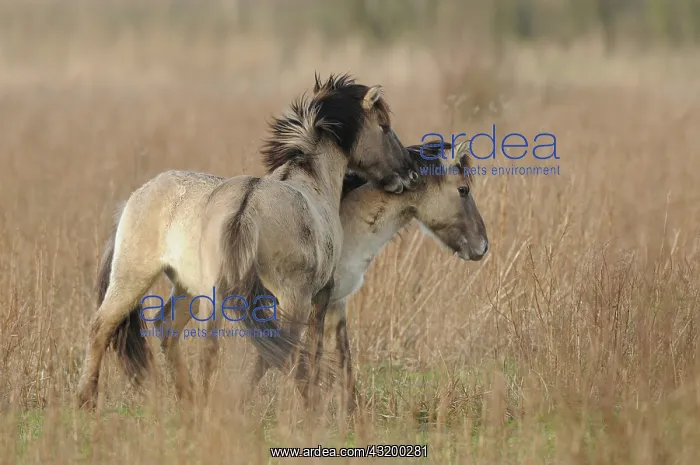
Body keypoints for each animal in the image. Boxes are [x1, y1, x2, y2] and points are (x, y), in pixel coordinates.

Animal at [75, 73, 420, 410]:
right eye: (384, 124)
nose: (409, 172)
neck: (312, 182)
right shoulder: (319, 296)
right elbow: (311, 349)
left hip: (191, 287)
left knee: (181, 335)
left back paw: (192, 400)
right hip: (139, 278)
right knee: (101, 327)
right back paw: (87, 400)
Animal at [205, 140, 489, 412]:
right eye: (463, 189)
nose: (482, 246)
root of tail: (245, 210)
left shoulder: (336, 305)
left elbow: (343, 358)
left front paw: (354, 410)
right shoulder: (319, 302)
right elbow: (309, 354)